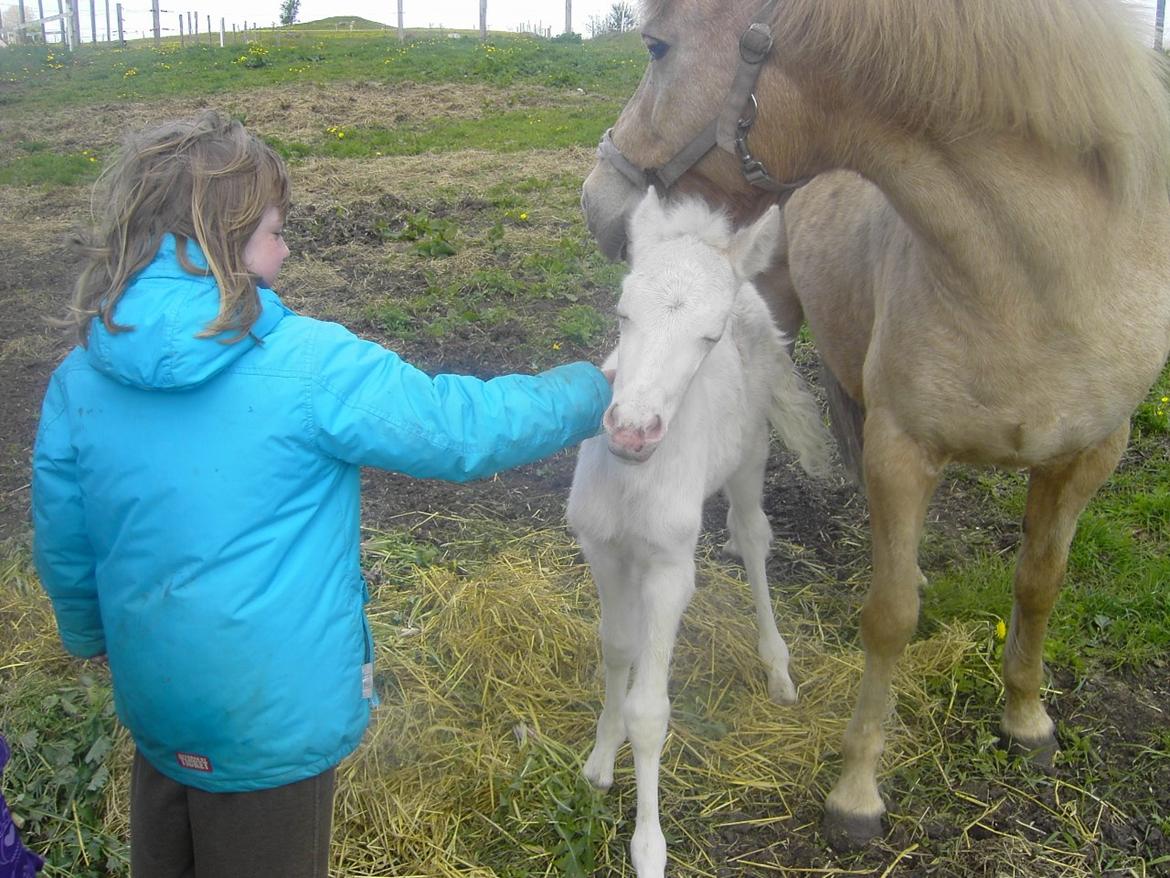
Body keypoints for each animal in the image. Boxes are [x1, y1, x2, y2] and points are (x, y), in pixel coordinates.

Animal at [566, 189, 833, 875]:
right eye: (622, 312)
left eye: (708, 337)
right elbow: (617, 649)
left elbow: (650, 710)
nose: (631, 431)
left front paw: (648, 846)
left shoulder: (669, 570)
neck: (635, 479)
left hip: (750, 456)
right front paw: (599, 762)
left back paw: (777, 668)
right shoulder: (603, 549)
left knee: (754, 535)